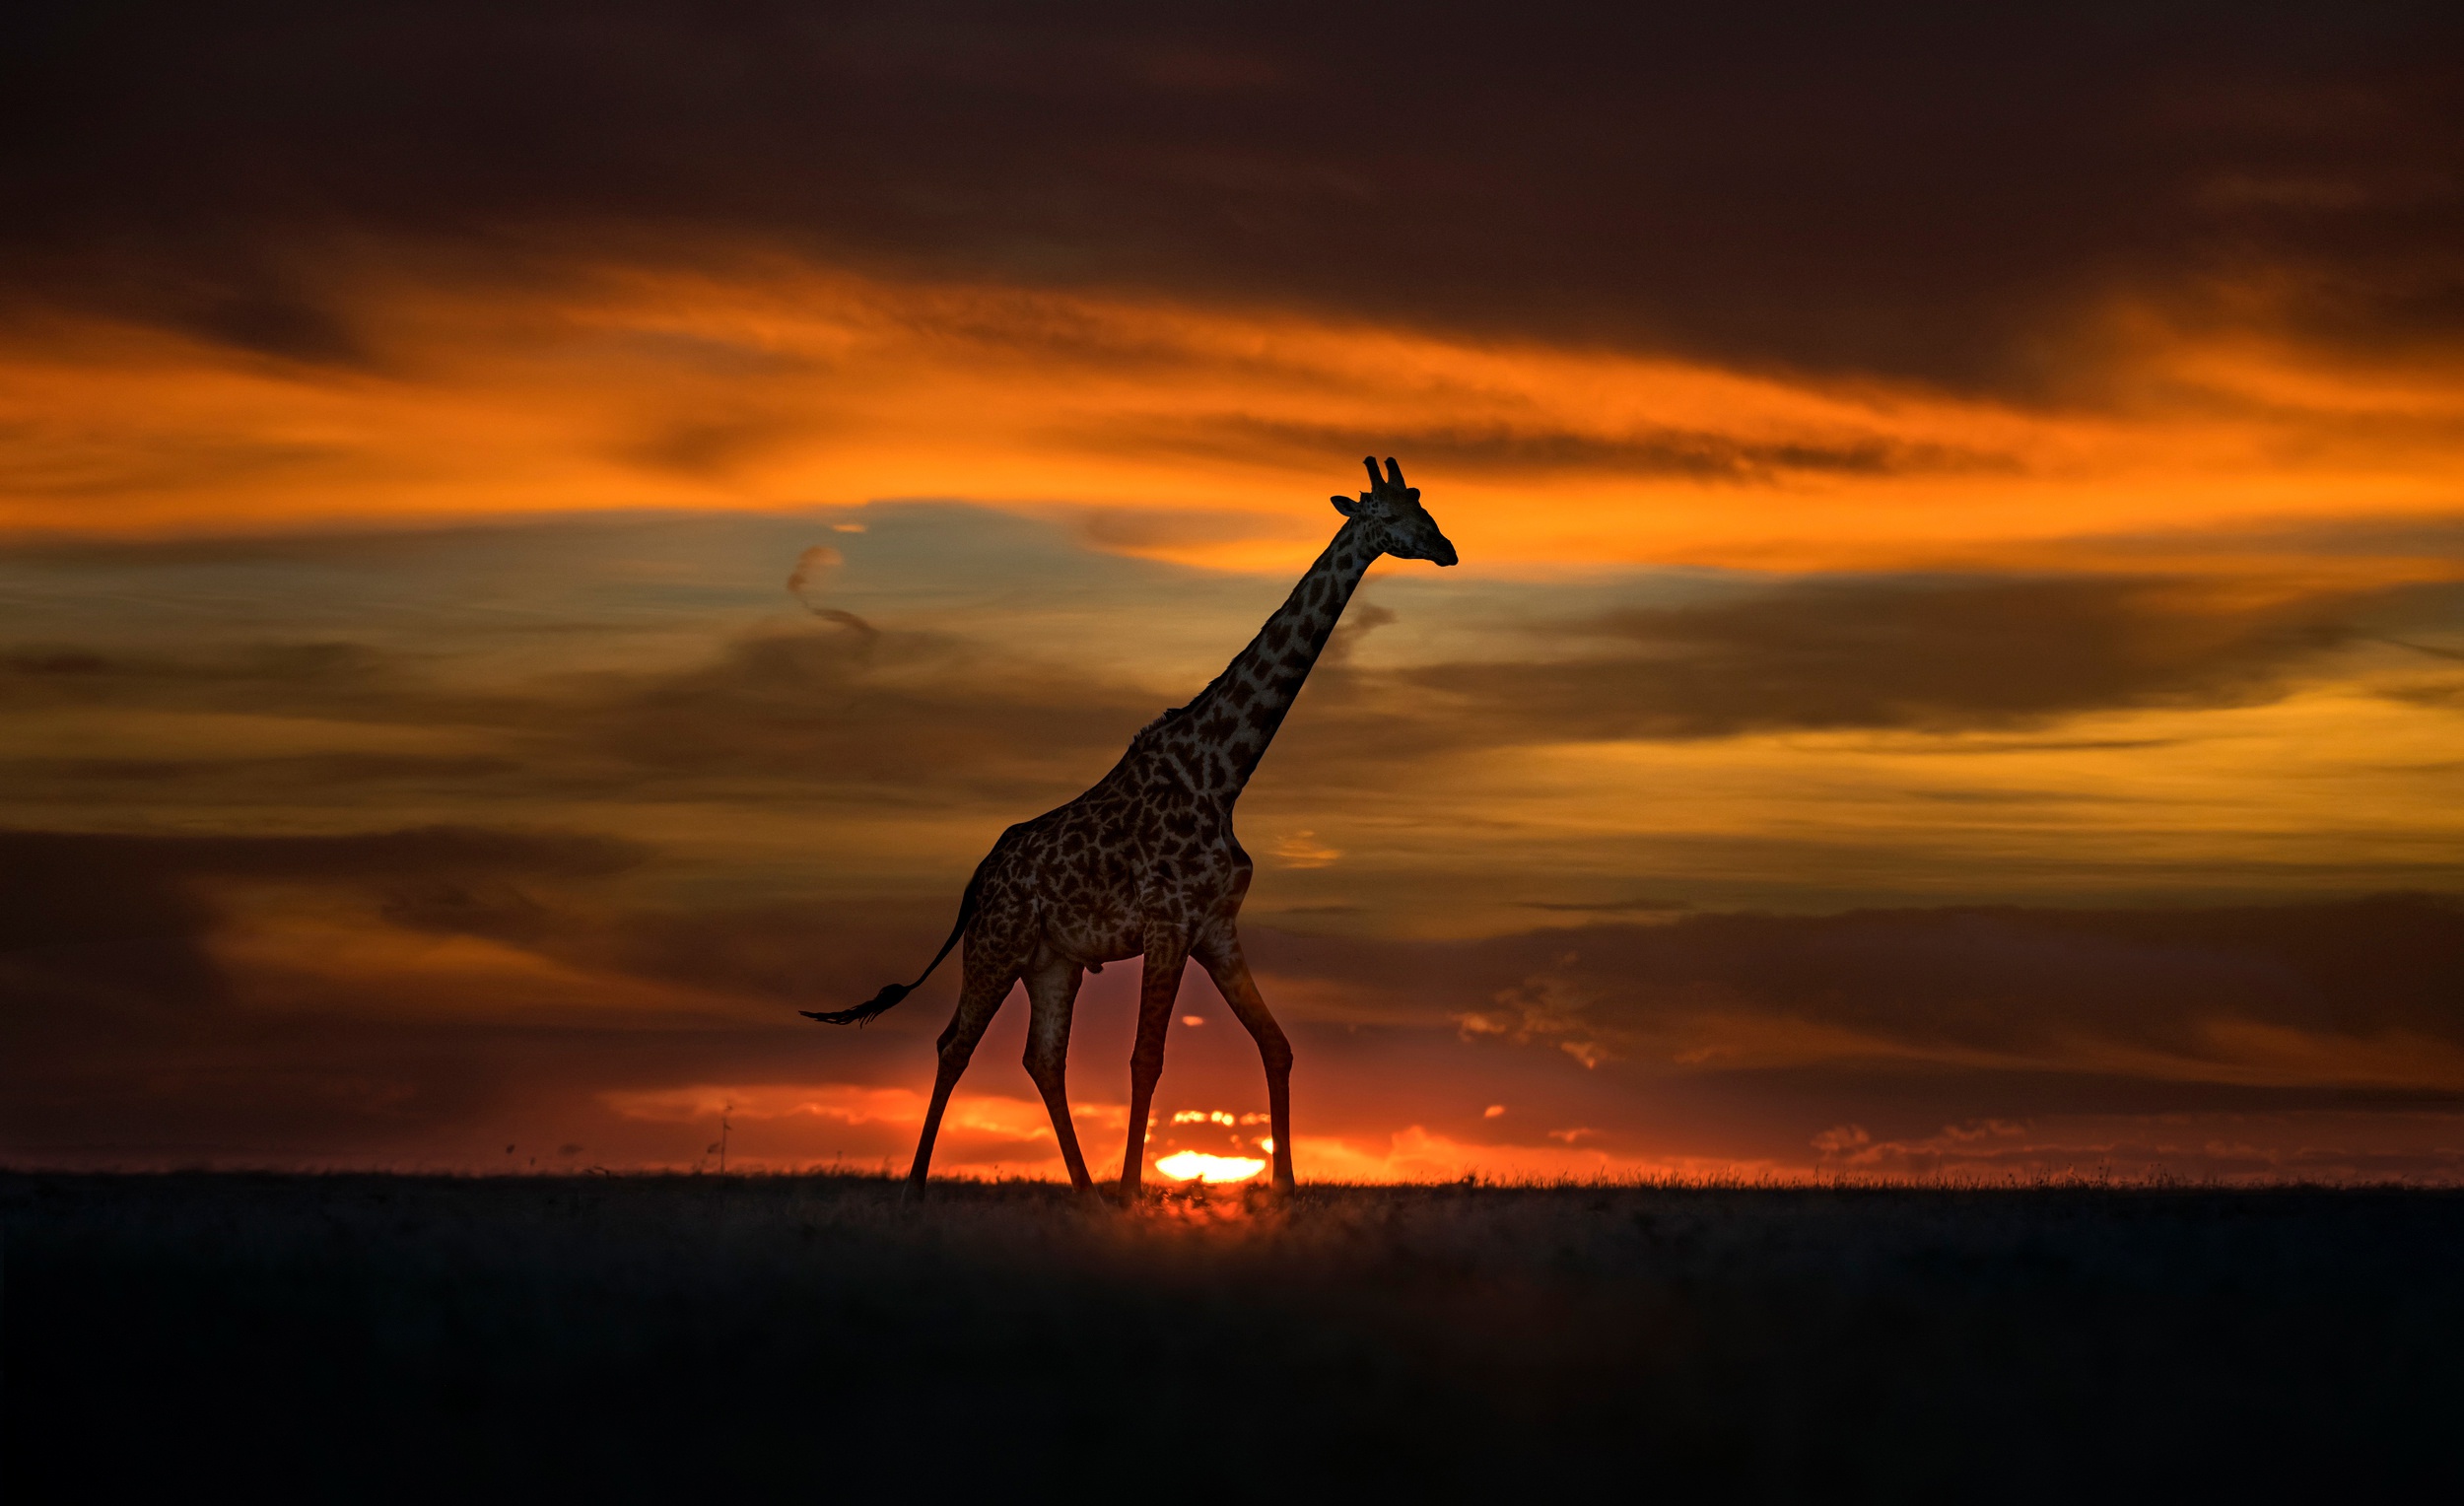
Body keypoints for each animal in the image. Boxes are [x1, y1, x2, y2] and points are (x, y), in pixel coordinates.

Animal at [804, 457, 1457, 1197]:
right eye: (1389, 514)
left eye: (1424, 506)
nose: (1447, 549)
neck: (1221, 773)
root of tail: (978, 879)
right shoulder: (1167, 922)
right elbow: (1147, 1057)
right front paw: (1133, 1192)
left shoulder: (1215, 927)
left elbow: (1277, 1046)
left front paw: (1285, 1188)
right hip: (997, 947)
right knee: (955, 1045)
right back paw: (920, 1189)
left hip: (1052, 962)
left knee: (1042, 1058)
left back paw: (1083, 1191)